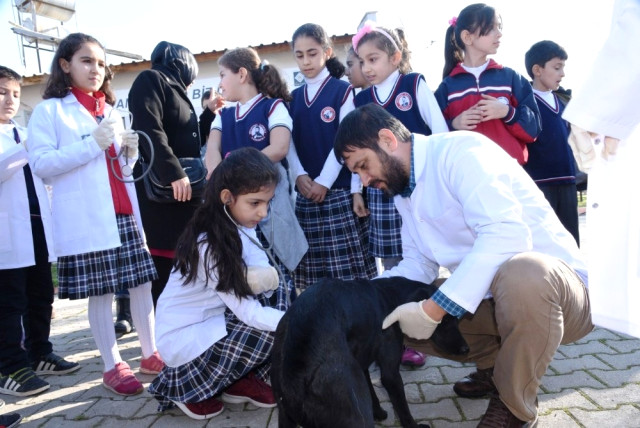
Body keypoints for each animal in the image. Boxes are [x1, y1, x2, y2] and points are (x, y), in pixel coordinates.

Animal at [272, 276, 470, 426]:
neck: (389, 296)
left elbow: (372, 390)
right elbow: (402, 408)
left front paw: (379, 412)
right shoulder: (390, 373)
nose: (466, 349)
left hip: (285, 416)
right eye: (443, 320)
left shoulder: (362, 364)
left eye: (456, 319)